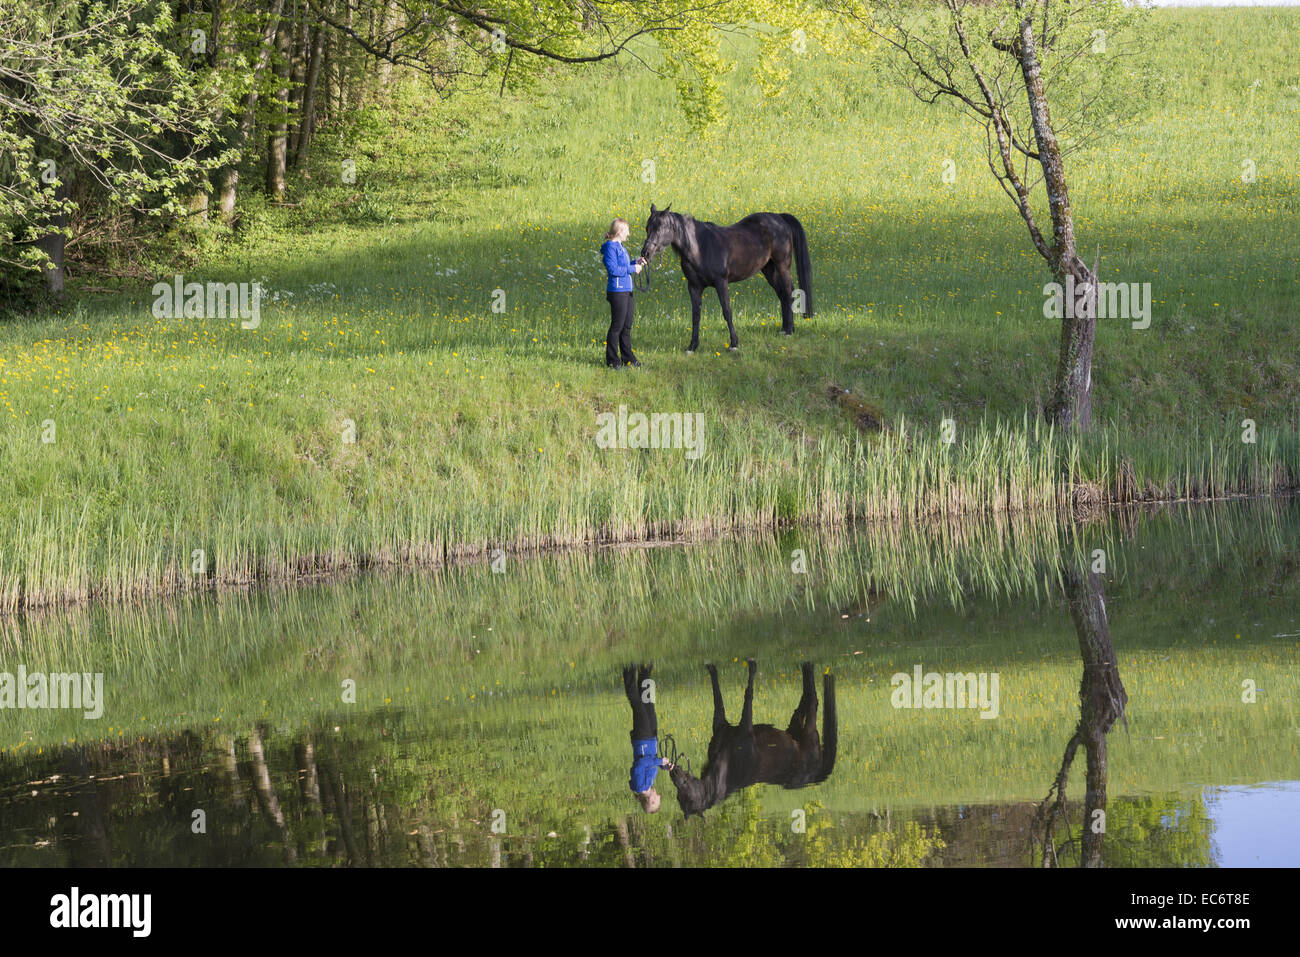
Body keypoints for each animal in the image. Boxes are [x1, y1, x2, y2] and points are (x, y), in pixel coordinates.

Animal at [639, 205, 811, 351]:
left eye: (661, 228)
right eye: (647, 228)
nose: (645, 253)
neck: (700, 247)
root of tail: (779, 218)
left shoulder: (721, 283)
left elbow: (727, 311)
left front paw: (734, 344)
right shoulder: (694, 287)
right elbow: (695, 315)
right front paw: (692, 346)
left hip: (782, 265)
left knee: (788, 293)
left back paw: (789, 331)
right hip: (769, 269)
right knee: (782, 294)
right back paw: (786, 329)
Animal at [665, 660, 837, 816]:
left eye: (685, 788)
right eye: (679, 796)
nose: (673, 772)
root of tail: (813, 777)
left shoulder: (733, 725)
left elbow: (724, 697)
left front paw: (714, 669)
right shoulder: (743, 726)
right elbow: (743, 696)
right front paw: (750, 667)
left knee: (810, 699)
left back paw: (807, 667)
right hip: (801, 732)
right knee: (810, 700)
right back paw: (807, 667)